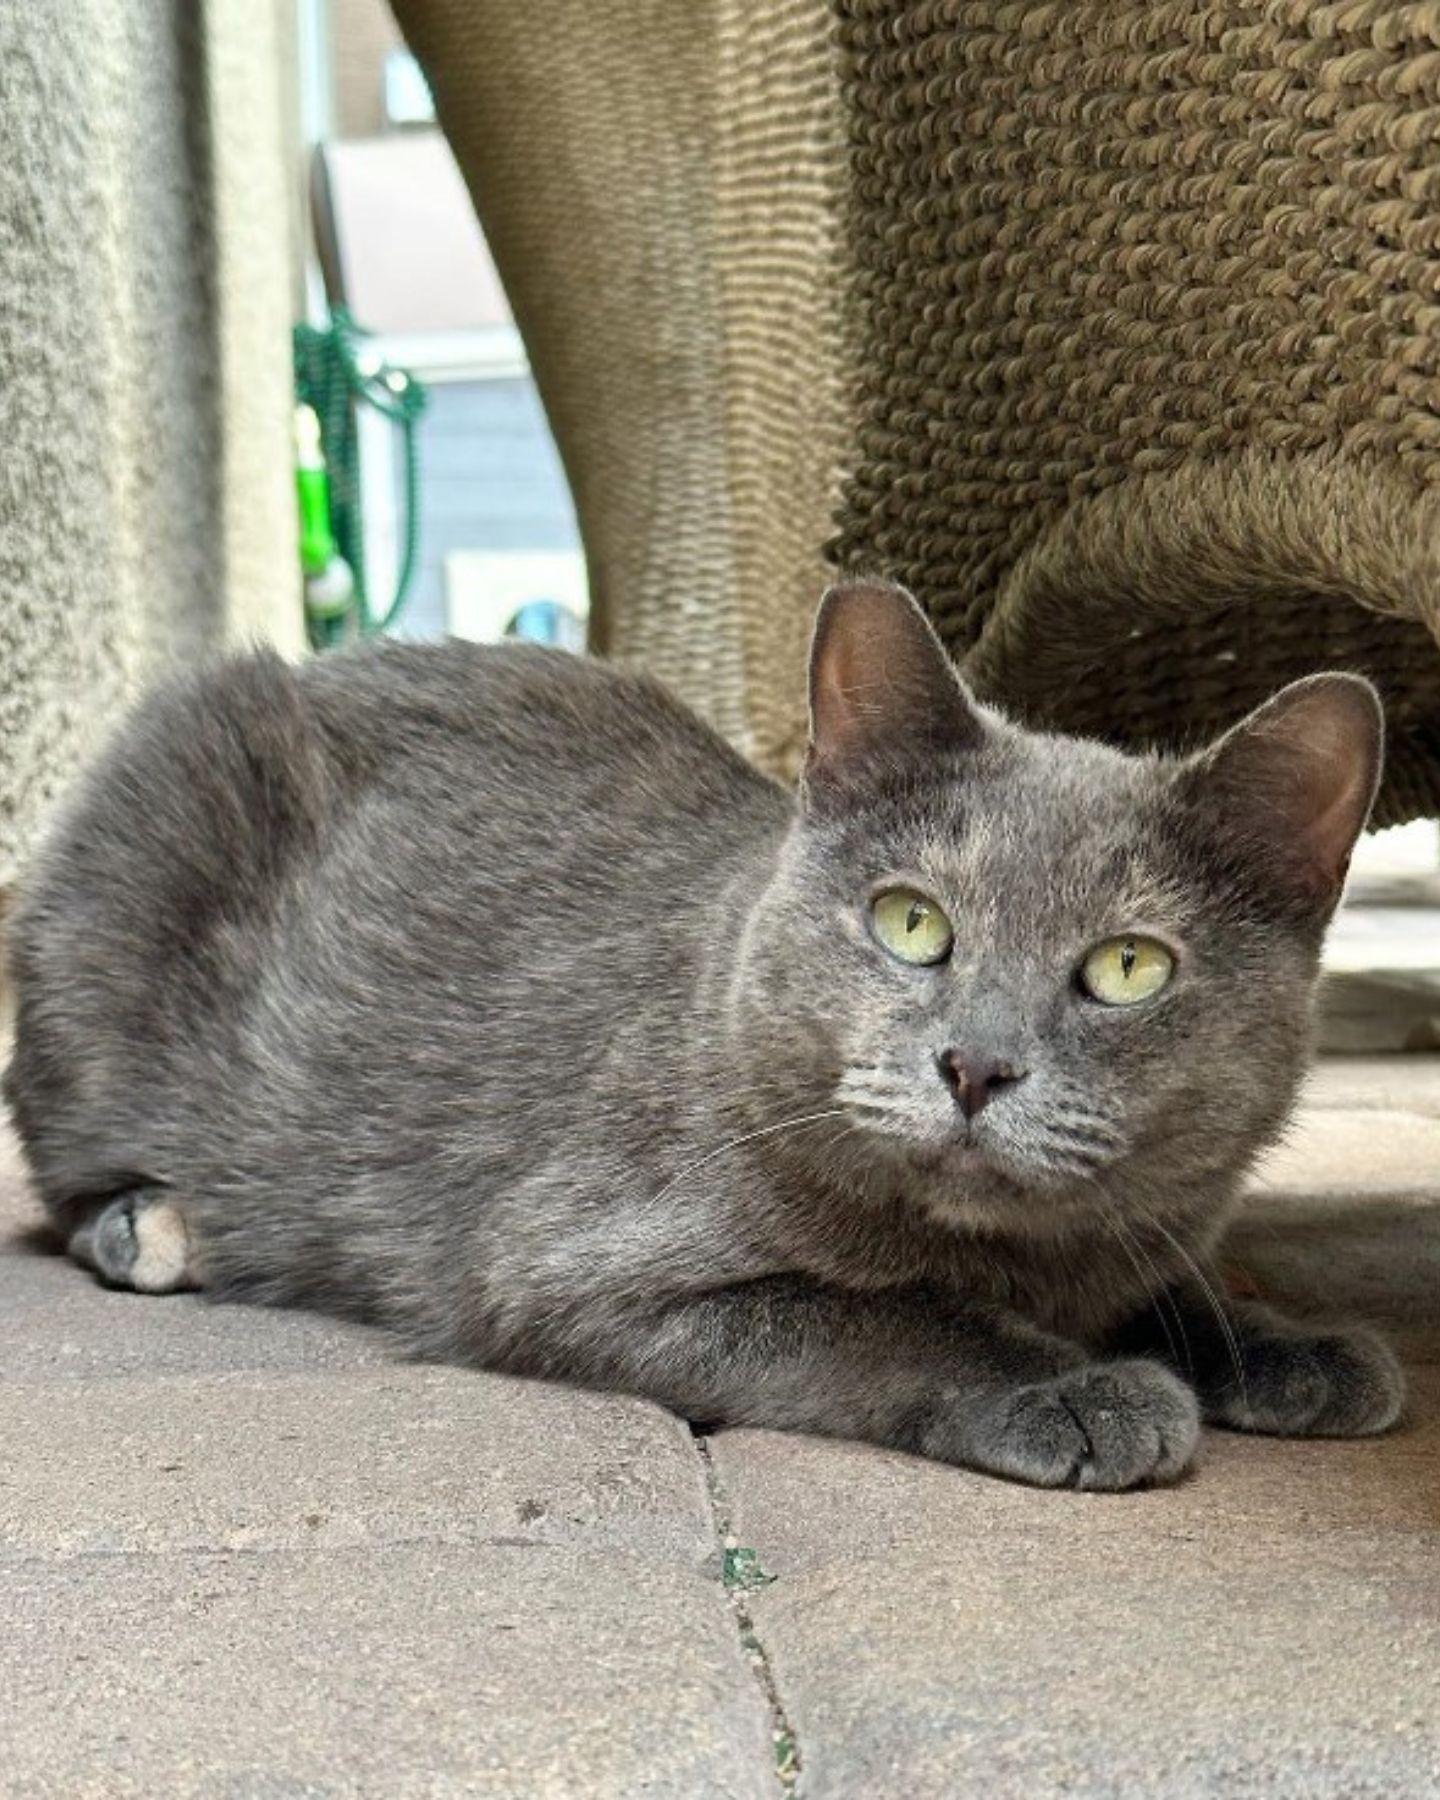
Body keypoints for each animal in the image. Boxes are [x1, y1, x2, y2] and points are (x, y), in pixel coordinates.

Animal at [2, 583, 1404, 1483]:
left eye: (1126, 967)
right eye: (911, 923)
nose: (975, 1064)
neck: (1016, 1261)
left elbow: (1171, 1282)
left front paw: (1282, 1343)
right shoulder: (573, 1265)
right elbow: (883, 1318)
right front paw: (1076, 1385)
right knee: (61, 1167)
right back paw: (155, 1225)